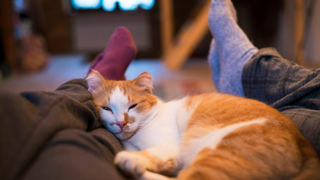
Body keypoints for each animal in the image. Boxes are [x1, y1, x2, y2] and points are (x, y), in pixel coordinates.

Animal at [86, 71, 320, 179]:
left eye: (133, 106)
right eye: (107, 109)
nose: (121, 122)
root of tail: (303, 142)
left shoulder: (169, 148)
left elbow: (150, 154)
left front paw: (132, 159)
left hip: (215, 154)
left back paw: (128, 164)